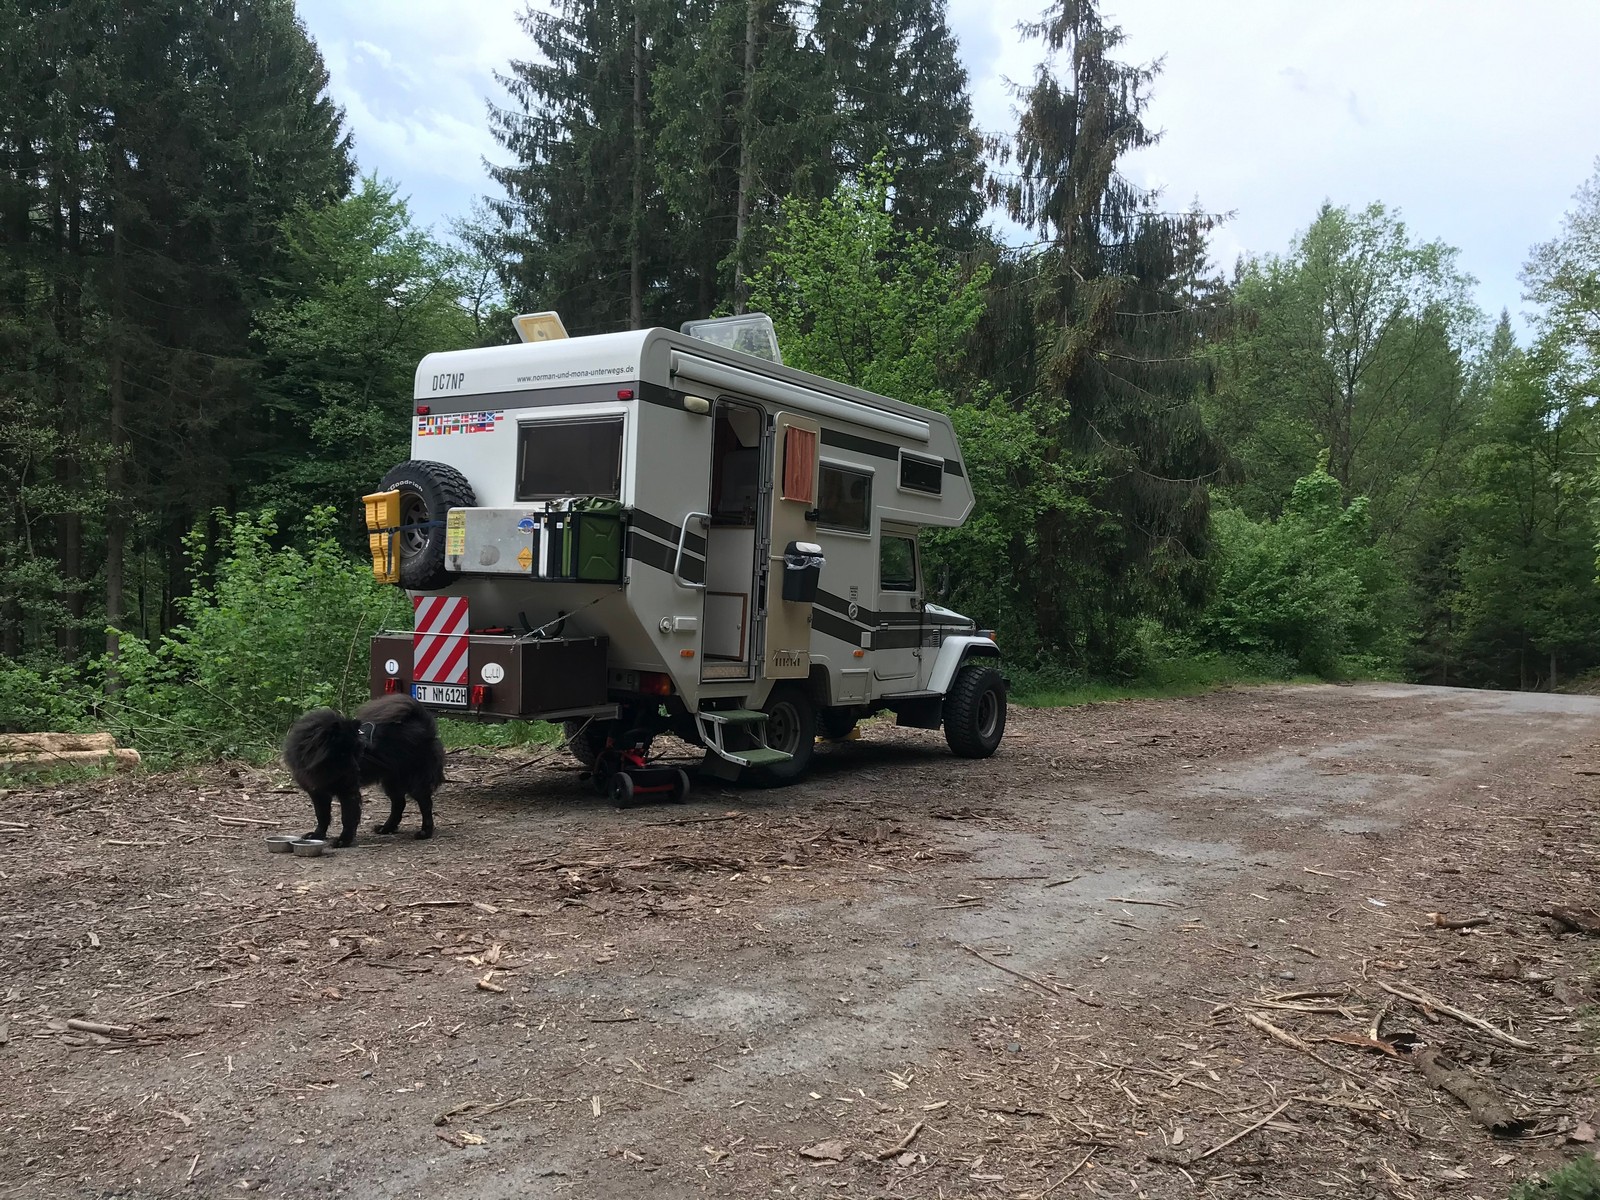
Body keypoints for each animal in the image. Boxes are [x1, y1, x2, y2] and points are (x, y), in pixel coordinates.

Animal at [282, 694, 446, 847]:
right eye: (343, 754)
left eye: (356, 752)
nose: (357, 769)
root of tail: (424, 725)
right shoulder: (318, 793)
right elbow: (322, 816)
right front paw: (318, 835)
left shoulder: (348, 792)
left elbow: (347, 818)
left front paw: (343, 841)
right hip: (392, 781)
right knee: (399, 803)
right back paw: (387, 828)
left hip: (413, 782)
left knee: (425, 804)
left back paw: (425, 832)